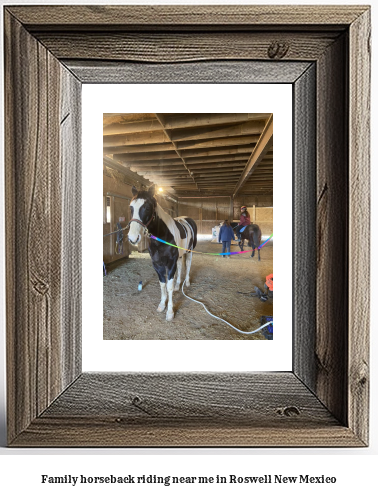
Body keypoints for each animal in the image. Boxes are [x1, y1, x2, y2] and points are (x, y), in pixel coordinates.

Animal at [127, 186, 196, 322]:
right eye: (131, 207)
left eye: (147, 207)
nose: (133, 238)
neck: (163, 236)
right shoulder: (157, 264)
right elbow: (162, 284)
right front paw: (162, 305)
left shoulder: (170, 263)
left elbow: (168, 286)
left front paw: (170, 312)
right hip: (180, 255)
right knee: (181, 266)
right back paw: (178, 285)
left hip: (189, 251)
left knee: (188, 265)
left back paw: (187, 283)